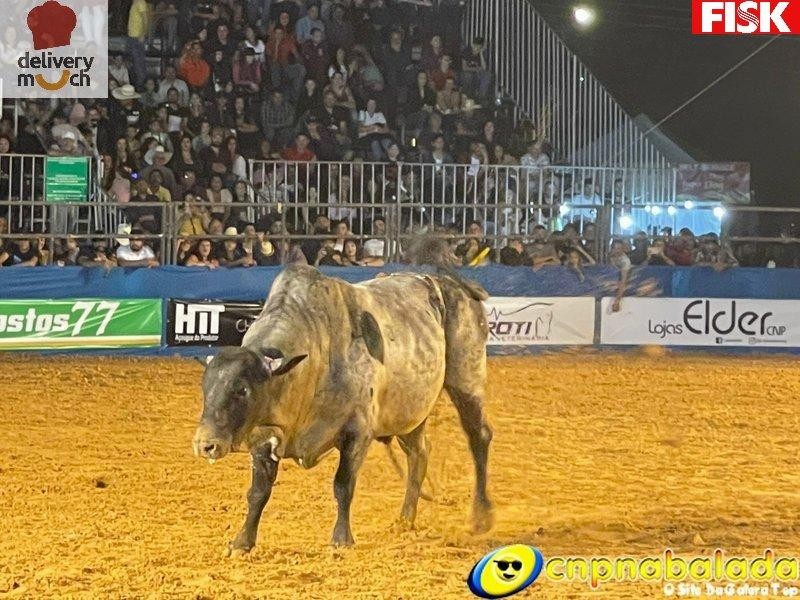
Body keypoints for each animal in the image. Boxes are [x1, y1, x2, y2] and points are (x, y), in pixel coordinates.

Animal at [192, 264, 493, 553]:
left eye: (242, 390)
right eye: (205, 386)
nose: (205, 444)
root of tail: (455, 284)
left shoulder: (357, 433)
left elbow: (343, 485)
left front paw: (341, 539)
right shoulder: (262, 436)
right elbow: (258, 492)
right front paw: (242, 542)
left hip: (466, 380)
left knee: (478, 437)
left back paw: (480, 517)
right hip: (411, 409)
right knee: (418, 453)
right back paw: (405, 519)